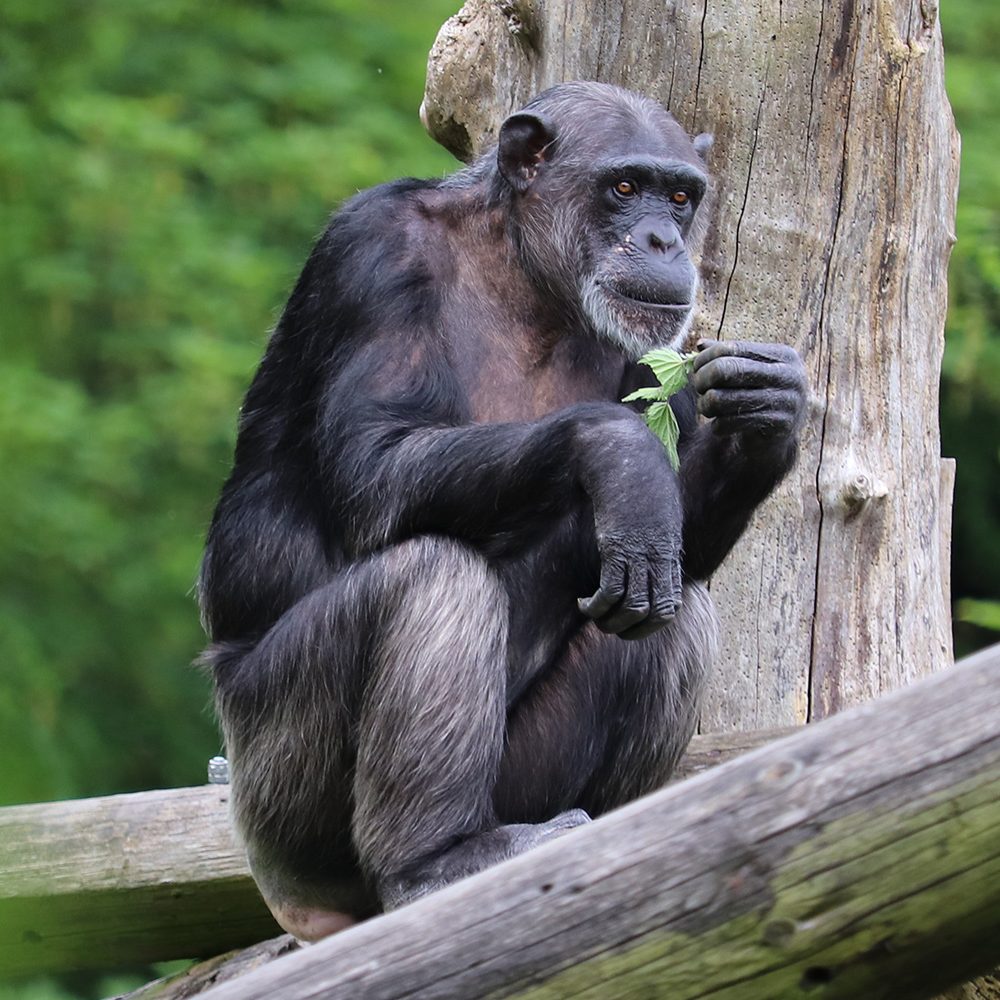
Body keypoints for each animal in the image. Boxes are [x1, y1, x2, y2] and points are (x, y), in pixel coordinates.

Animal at [199, 82, 808, 940]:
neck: (527, 274)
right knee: (433, 577)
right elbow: (374, 464)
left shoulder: (657, 347)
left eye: (681, 196)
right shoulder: (371, 251)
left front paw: (768, 410)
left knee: (672, 600)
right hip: (275, 797)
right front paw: (622, 456)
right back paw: (435, 862)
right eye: (625, 187)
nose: (662, 238)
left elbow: (663, 538)